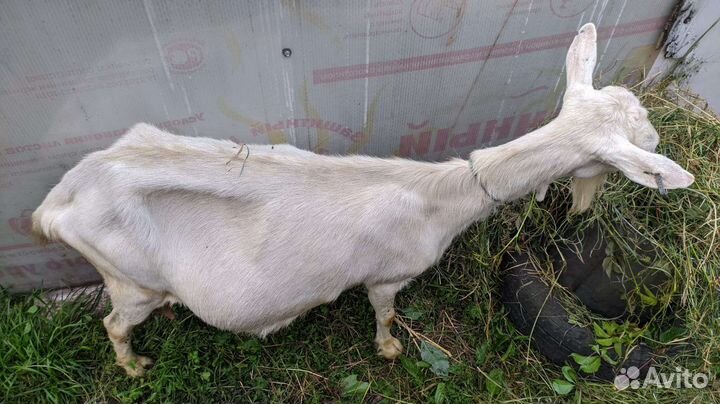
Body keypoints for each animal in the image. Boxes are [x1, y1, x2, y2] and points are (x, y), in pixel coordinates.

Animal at [32, 24, 693, 376]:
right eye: (632, 144)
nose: (661, 139)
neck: (441, 198)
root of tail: (57, 203)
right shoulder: (388, 274)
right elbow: (384, 312)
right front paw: (391, 349)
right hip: (128, 279)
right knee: (114, 323)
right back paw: (134, 366)